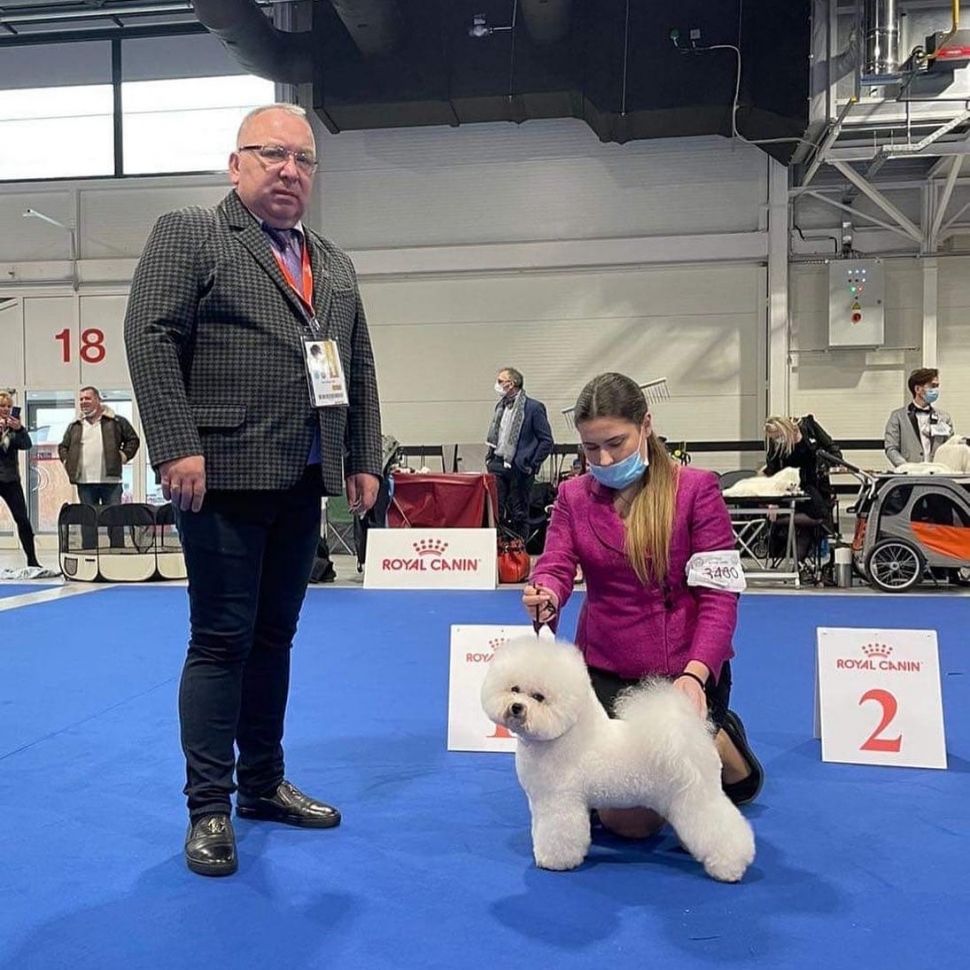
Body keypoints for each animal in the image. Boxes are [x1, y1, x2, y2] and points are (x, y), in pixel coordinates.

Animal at [484, 636, 756, 884]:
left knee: (723, 828)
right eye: (514, 689)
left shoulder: (560, 801)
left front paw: (555, 861)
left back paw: (730, 867)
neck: (564, 735)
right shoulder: (542, 803)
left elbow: (559, 833)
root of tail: (693, 739)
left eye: (539, 697)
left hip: (694, 796)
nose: (516, 707)